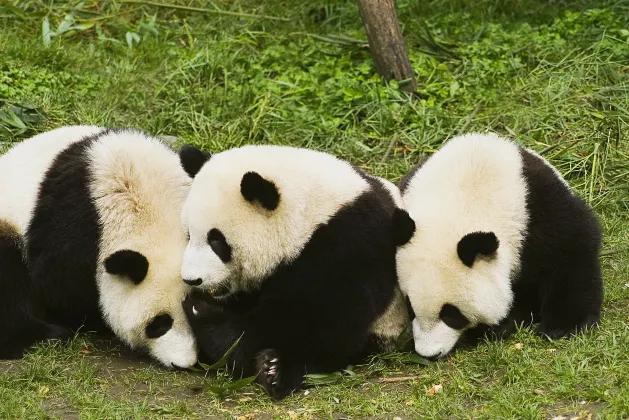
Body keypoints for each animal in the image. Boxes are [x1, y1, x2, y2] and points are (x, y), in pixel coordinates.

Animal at [392, 133, 604, 360]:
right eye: (410, 307)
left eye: (451, 314)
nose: (429, 353)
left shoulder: (538, 214)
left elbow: (568, 258)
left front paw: (562, 327)